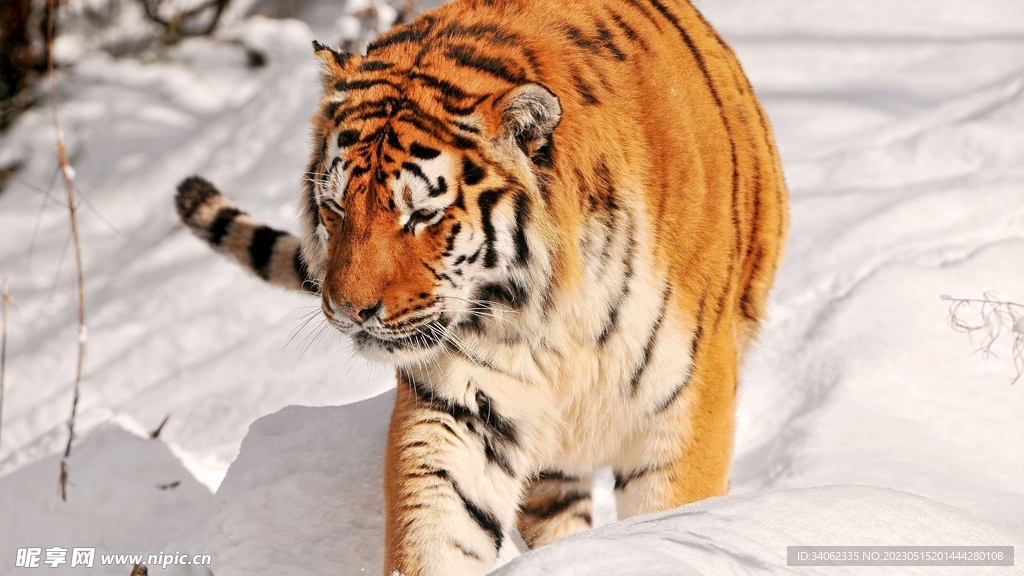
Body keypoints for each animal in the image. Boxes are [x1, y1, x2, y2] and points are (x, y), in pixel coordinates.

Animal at [174, 0, 787, 573]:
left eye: (422, 215)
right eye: (335, 206)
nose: (348, 310)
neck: (557, 309)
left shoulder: (684, 407)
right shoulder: (462, 405)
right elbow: (437, 527)